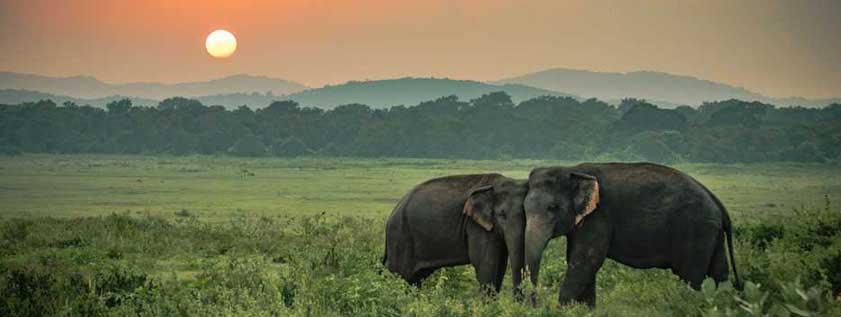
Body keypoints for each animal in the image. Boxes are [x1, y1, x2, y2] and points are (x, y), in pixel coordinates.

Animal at [380, 173, 524, 294]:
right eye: (502, 215)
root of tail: (392, 214)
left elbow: (500, 265)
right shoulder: (475, 226)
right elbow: (486, 265)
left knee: (415, 279)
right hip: (400, 237)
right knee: (400, 274)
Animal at [520, 162, 740, 304]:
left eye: (553, 208)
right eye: (524, 209)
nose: (534, 302)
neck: (573, 170)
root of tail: (716, 201)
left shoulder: (599, 216)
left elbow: (586, 260)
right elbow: (580, 261)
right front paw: (585, 309)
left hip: (696, 230)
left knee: (691, 275)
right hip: (711, 231)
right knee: (719, 271)